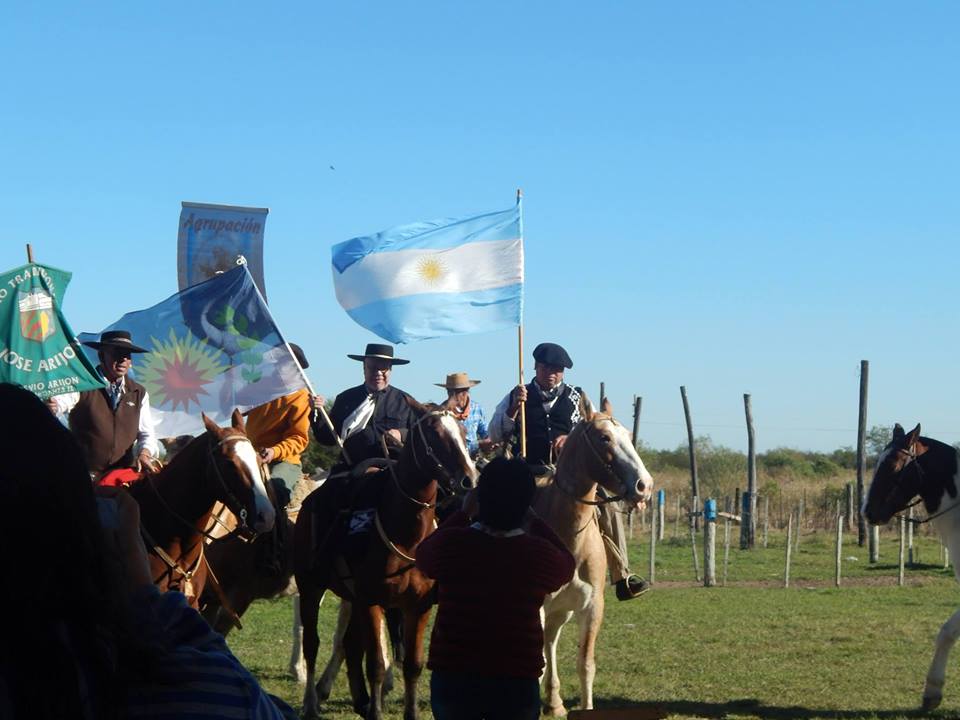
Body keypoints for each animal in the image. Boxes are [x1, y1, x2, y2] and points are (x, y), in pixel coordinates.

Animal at [294, 400, 478, 720]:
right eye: (434, 434)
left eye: (463, 431)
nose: (469, 478)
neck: (406, 534)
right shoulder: (372, 601)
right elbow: (377, 665)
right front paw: (377, 711)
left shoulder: (418, 606)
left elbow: (412, 665)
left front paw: (408, 712)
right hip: (311, 587)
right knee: (313, 644)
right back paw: (311, 703)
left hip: (350, 597)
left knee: (350, 644)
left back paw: (360, 701)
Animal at [532, 400, 652, 716]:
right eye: (604, 438)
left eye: (627, 434)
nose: (644, 485)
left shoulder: (591, 607)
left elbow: (585, 664)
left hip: (561, 611)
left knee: (551, 642)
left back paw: (555, 702)